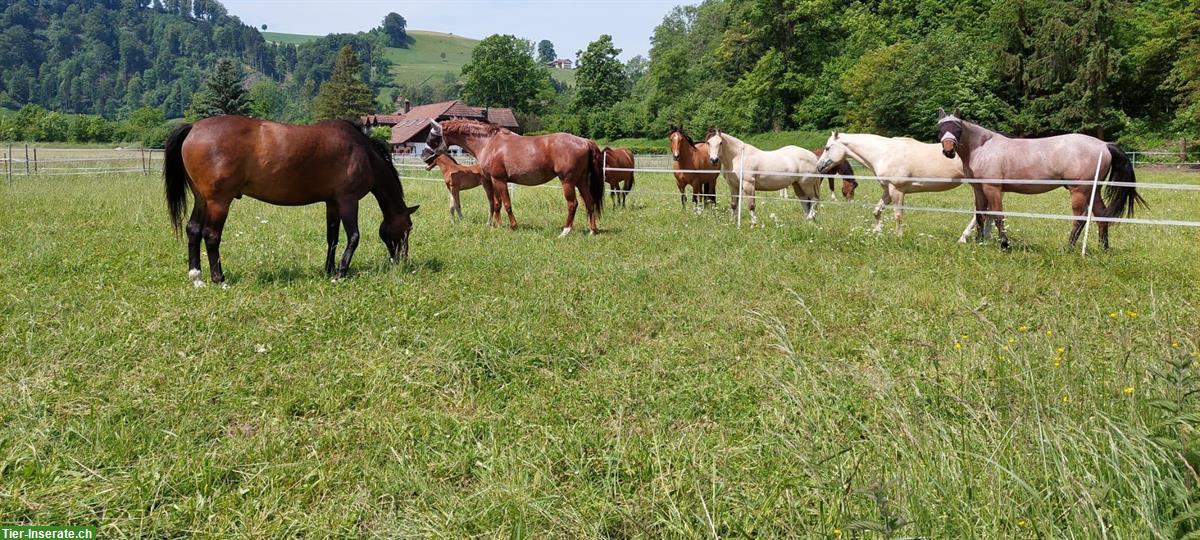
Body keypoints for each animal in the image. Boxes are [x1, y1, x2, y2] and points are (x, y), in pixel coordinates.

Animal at [164, 117, 417, 286]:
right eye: (408, 228)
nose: (402, 261)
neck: (362, 151)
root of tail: (193, 128)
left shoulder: (332, 203)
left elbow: (332, 238)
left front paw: (329, 269)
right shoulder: (348, 201)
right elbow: (353, 237)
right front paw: (340, 273)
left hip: (202, 199)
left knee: (193, 230)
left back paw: (196, 277)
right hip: (218, 201)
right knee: (211, 235)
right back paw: (219, 278)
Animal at [427, 118, 604, 236]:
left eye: (433, 136)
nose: (425, 156)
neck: (489, 143)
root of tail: (585, 141)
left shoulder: (499, 180)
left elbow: (506, 204)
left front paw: (513, 226)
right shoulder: (493, 180)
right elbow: (497, 204)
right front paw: (497, 225)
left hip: (568, 181)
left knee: (573, 204)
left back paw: (565, 231)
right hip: (581, 181)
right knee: (589, 202)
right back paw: (592, 230)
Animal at [820, 130, 988, 240]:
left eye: (827, 148)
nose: (819, 167)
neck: (884, 153)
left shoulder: (897, 190)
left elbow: (898, 215)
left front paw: (899, 236)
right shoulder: (888, 190)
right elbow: (877, 211)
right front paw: (877, 232)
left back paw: (964, 238)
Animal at [931, 108, 1147, 250]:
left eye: (957, 128)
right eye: (940, 129)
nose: (948, 150)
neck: (983, 147)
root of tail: (1104, 144)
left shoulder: (993, 188)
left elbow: (999, 216)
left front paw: (1004, 245)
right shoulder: (979, 189)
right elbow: (980, 215)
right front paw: (979, 242)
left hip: (1080, 190)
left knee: (1079, 219)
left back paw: (1068, 248)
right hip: (1093, 190)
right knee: (1101, 215)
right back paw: (1104, 248)